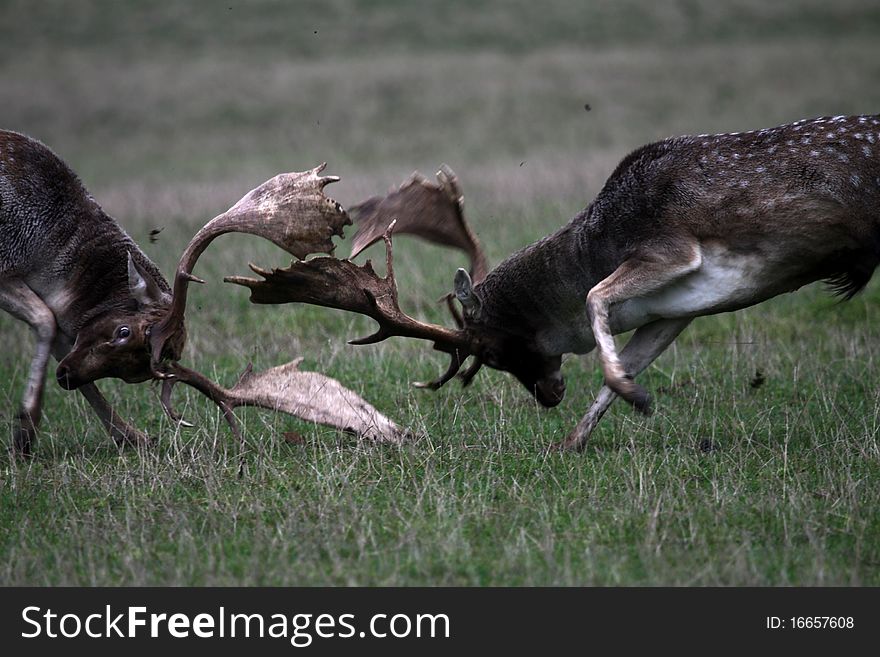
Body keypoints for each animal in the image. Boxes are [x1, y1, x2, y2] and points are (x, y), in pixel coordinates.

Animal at [0, 129, 406, 456]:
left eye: (137, 373)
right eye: (122, 331)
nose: (66, 376)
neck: (49, 253)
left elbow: (54, 329)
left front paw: (129, 436)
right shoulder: (7, 269)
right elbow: (47, 321)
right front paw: (25, 431)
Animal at [227, 114, 880, 452]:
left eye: (491, 353)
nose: (547, 395)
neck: (598, 241)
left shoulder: (673, 250)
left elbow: (593, 298)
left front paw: (629, 396)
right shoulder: (678, 307)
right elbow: (634, 354)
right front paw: (578, 438)